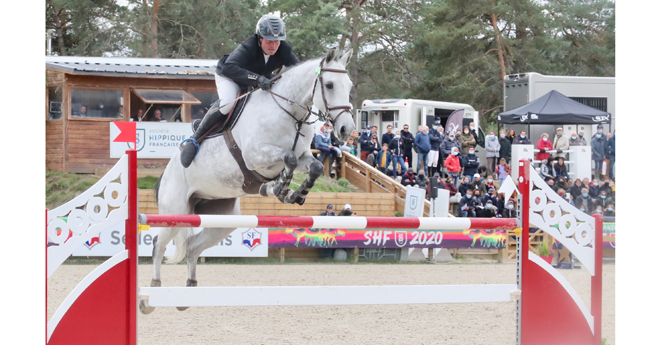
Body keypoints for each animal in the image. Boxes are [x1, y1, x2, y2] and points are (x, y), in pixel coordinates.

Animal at [140, 47, 356, 314]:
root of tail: (166, 172)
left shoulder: (304, 156)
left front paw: (295, 193)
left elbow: (313, 165)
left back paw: (187, 295)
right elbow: (288, 157)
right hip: (175, 212)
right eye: (329, 84)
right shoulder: (255, 156)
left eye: (349, 85)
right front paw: (279, 187)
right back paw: (150, 296)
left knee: (192, 247)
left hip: (222, 219)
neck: (289, 114)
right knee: (158, 244)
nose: (347, 130)